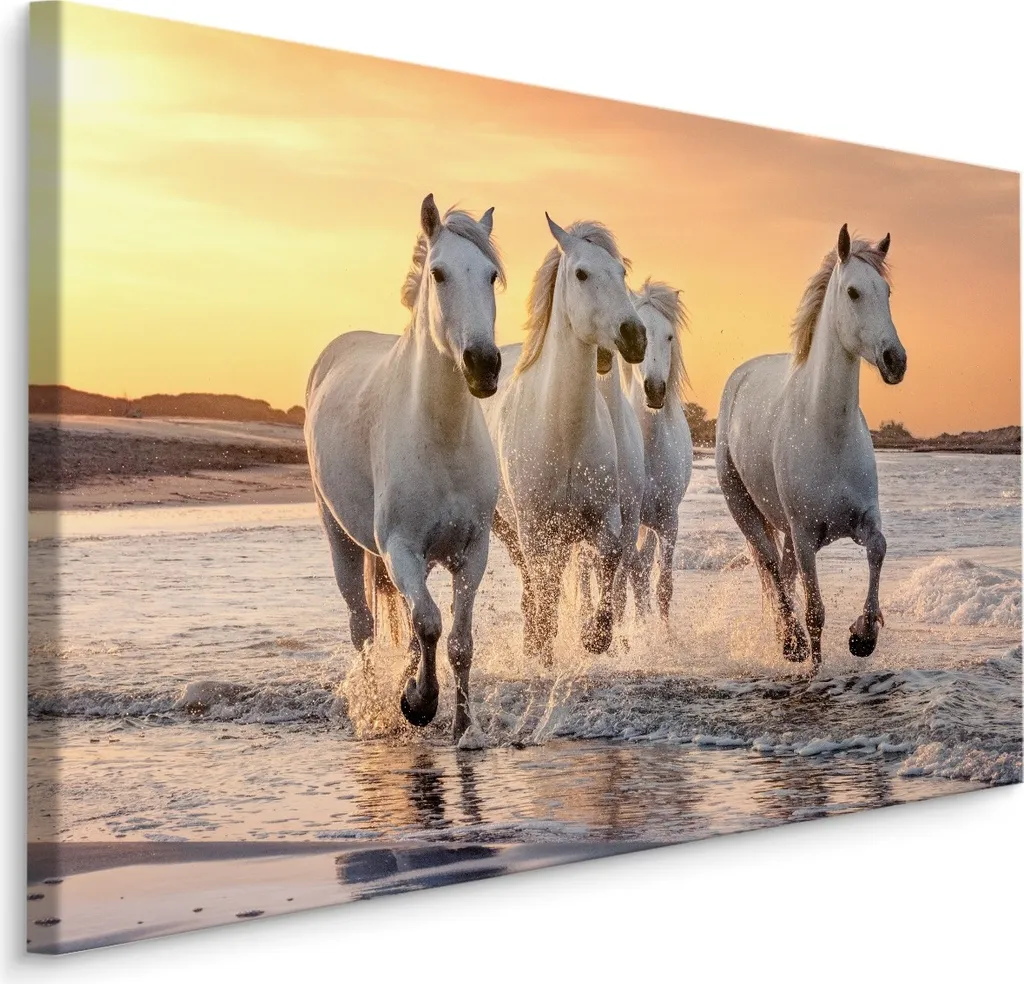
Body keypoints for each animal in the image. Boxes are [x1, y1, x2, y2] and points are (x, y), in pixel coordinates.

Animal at [305, 194, 505, 743]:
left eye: (492, 275)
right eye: (438, 273)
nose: (484, 365)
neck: (441, 436)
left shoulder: (471, 552)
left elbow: (457, 640)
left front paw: (463, 728)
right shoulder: (400, 548)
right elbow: (431, 624)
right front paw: (418, 703)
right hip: (342, 538)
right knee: (363, 628)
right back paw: (376, 705)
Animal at [488, 215, 647, 667]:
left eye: (622, 272)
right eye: (581, 273)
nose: (635, 336)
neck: (565, 432)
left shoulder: (605, 519)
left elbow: (608, 563)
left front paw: (595, 637)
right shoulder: (535, 527)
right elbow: (545, 588)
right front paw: (543, 646)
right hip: (508, 528)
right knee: (533, 581)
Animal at [715, 224, 906, 670]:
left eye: (886, 291)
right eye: (853, 292)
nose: (895, 360)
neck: (827, 432)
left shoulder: (863, 520)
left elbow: (879, 549)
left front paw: (863, 635)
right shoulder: (804, 536)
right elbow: (816, 611)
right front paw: (814, 663)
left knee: (781, 575)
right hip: (745, 509)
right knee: (770, 566)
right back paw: (791, 643)